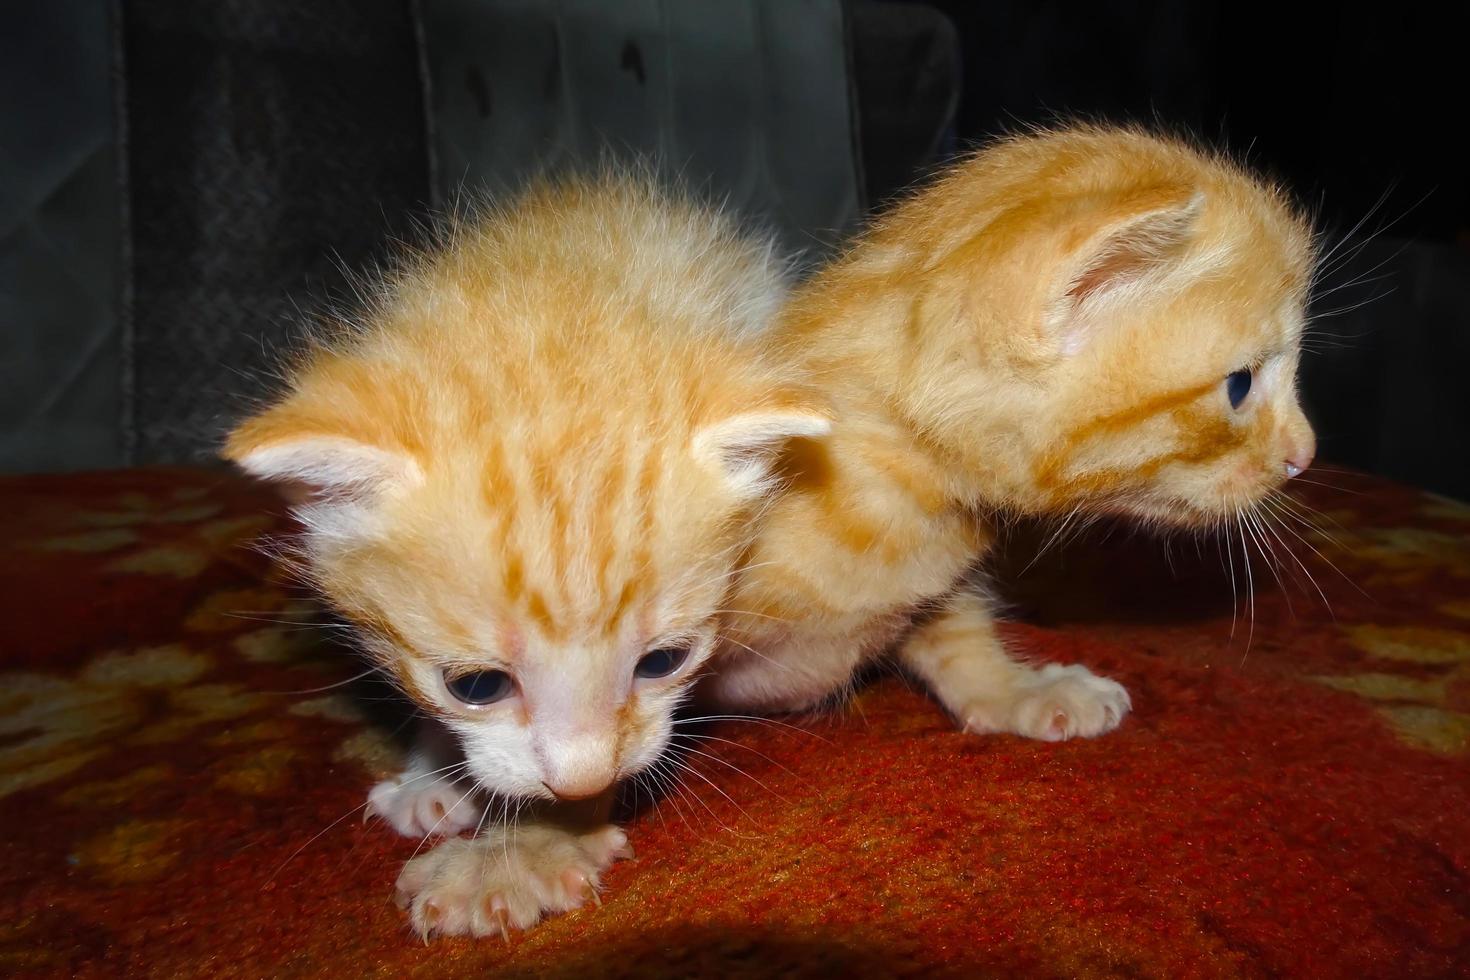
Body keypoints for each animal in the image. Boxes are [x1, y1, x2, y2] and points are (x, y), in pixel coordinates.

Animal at [224, 179, 834, 940]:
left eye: (664, 662)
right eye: (476, 685)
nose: (581, 780)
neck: (549, 289)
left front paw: (524, 853)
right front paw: (435, 775)